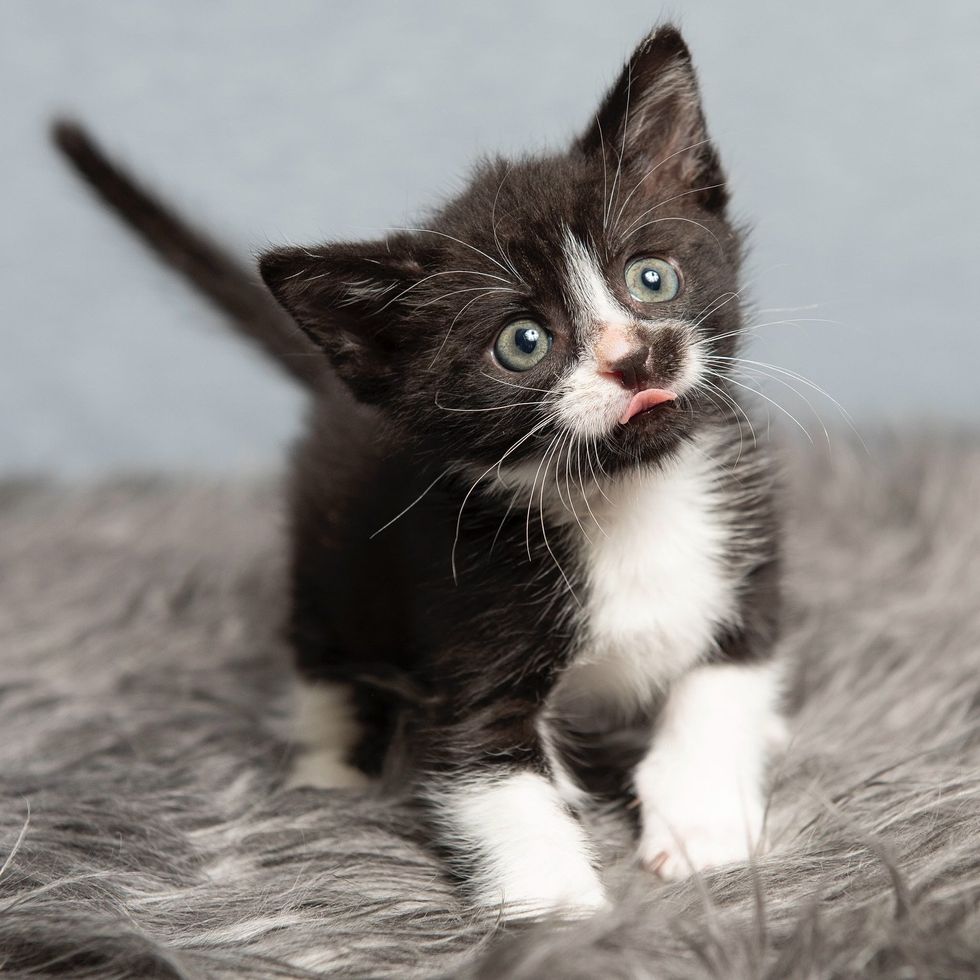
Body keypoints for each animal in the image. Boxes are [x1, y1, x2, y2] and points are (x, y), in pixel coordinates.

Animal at [55, 28, 788, 920]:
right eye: (523, 343)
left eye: (652, 277)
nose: (634, 357)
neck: (624, 497)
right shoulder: (464, 630)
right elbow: (494, 781)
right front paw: (564, 919)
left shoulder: (748, 555)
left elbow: (720, 685)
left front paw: (703, 823)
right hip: (328, 560)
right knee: (325, 659)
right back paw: (327, 765)